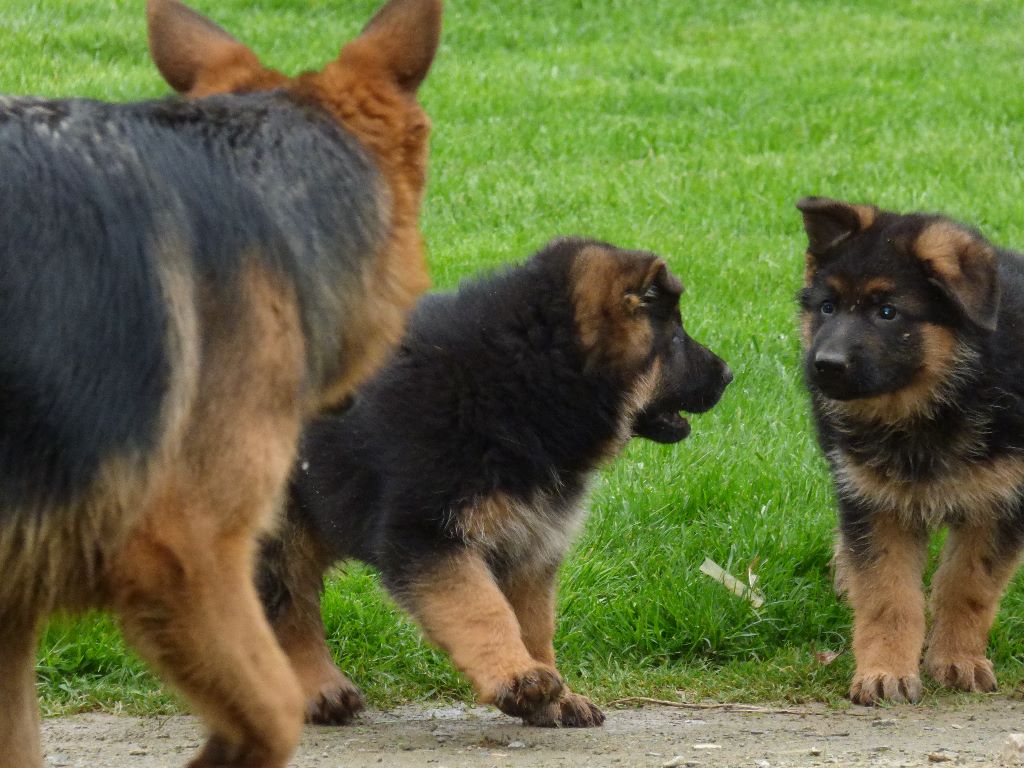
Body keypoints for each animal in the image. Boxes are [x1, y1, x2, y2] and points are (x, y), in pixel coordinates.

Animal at [260, 237, 733, 729]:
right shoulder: (427, 534)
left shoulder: (529, 542)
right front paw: (519, 678)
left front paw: (554, 692)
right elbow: (482, 609)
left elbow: (534, 624)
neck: (522, 377)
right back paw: (320, 688)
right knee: (289, 605)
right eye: (674, 339)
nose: (729, 374)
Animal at [798, 199, 1024, 708]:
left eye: (888, 312)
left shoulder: (1000, 504)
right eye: (827, 307)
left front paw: (958, 660)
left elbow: (968, 587)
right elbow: (888, 595)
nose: (824, 366)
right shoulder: (875, 503)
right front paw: (885, 672)